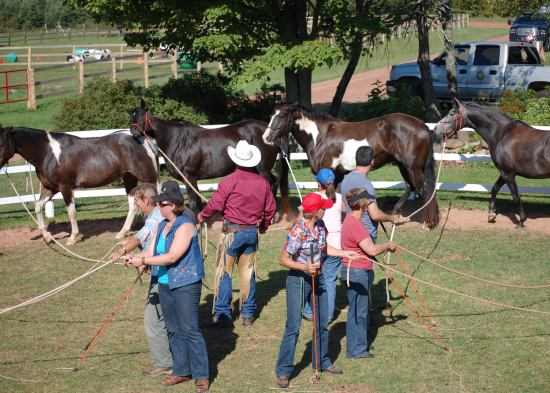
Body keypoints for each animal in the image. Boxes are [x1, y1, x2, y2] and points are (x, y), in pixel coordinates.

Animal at [0, 126, 160, 242]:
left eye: (1, 144)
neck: (48, 153)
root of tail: (144, 140)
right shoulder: (50, 188)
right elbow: (38, 207)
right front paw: (47, 237)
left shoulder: (65, 187)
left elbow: (71, 211)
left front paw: (72, 238)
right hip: (129, 179)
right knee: (133, 204)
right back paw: (121, 233)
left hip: (150, 178)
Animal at [131, 107, 292, 216]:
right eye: (131, 118)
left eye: (141, 118)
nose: (133, 134)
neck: (178, 141)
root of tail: (270, 133)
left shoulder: (190, 177)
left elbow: (193, 201)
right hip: (256, 168)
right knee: (274, 183)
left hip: (263, 168)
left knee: (270, 185)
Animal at [264, 102, 440, 228]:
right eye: (271, 115)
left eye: (281, 116)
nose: (266, 137)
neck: (320, 137)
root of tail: (423, 126)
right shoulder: (338, 176)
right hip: (402, 165)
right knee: (411, 187)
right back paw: (397, 214)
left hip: (412, 168)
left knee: (425, 191)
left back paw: (427, 223)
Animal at [436, 99, 550, 227]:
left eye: (451, 113)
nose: (436, 129)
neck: (501, 133)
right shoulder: (504, 173)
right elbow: (495, 188)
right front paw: (491, 215)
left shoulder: (508, 173)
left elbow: (515, 196)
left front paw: (521, 221)